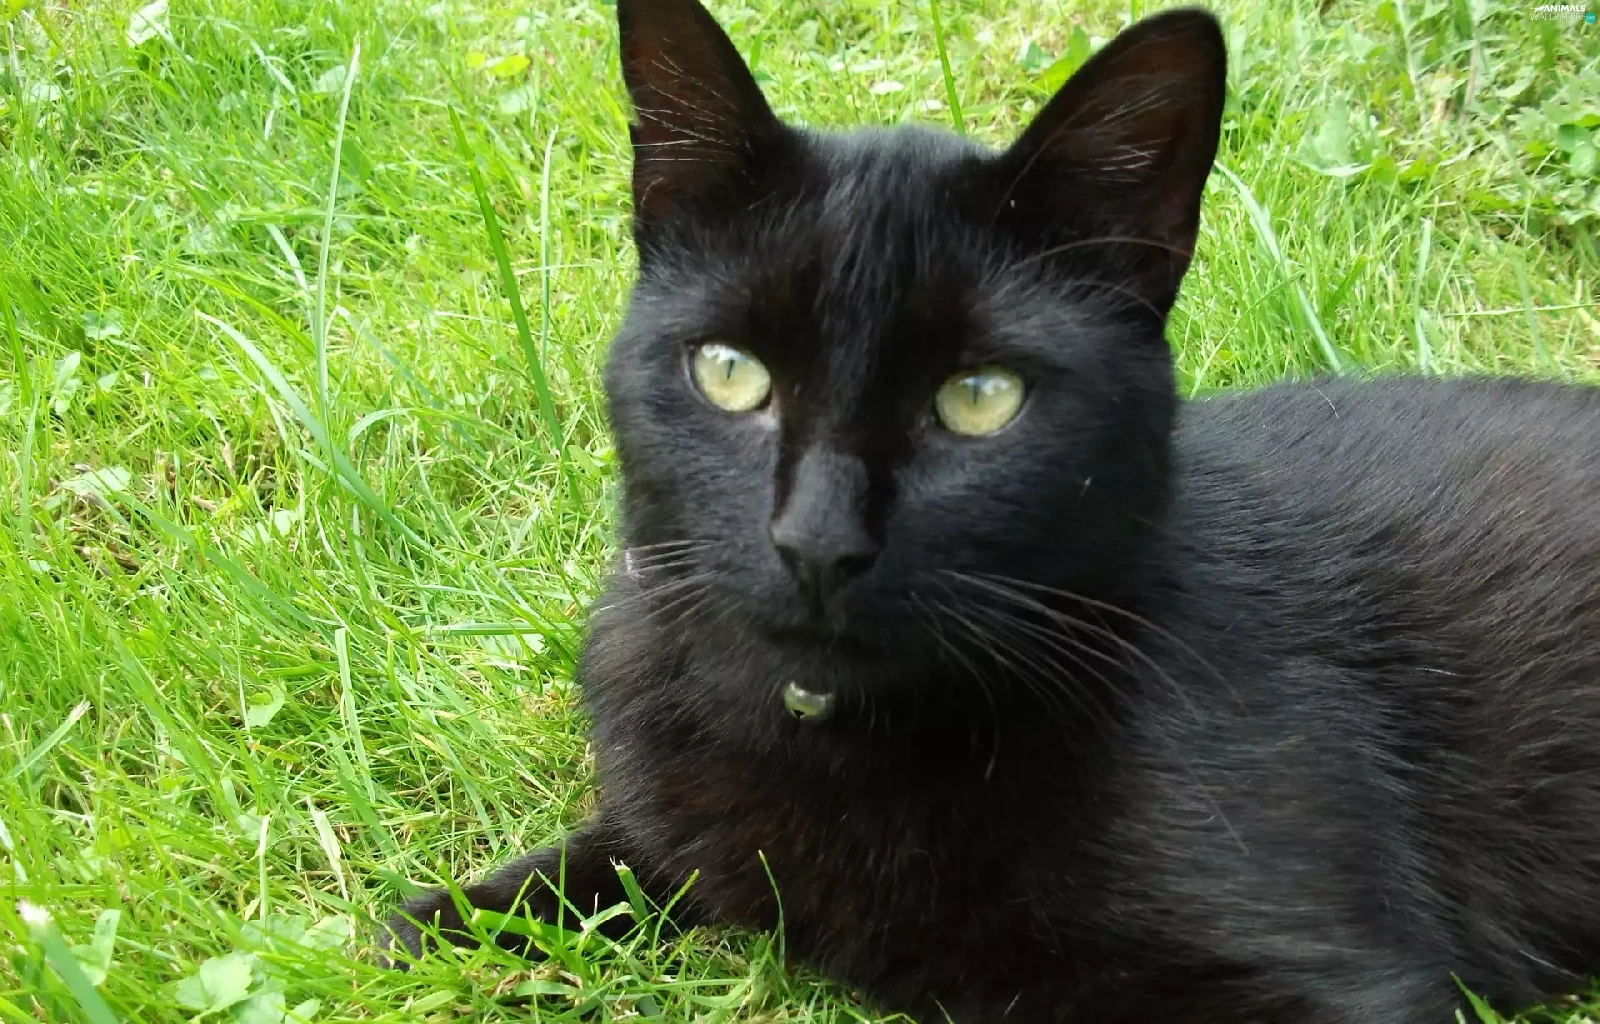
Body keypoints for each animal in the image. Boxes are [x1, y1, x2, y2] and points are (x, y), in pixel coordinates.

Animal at [383, 1, 1600, 1021]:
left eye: (980, 399)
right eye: (730, 373)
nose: (816, 542)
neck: (832, 729)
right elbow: (565, 872)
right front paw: (442, 922)